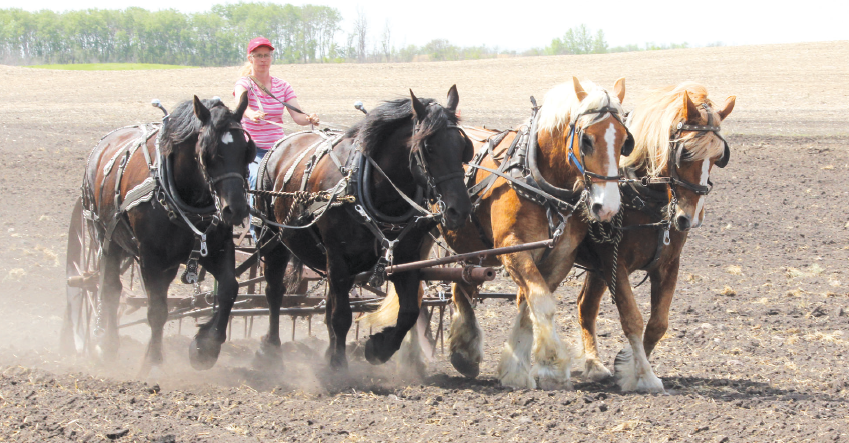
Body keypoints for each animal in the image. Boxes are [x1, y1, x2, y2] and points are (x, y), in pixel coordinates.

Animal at [78, 95, 253, 372]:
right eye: (207, 153)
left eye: (246, 151)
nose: (235, 209)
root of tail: (103, 145)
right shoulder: (150, 258)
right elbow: (157, 309)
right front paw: (153, 361)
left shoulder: (218, 248)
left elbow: (228, 289)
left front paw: (205, 347)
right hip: (108, 239)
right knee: (110, 288)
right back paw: (107, 345)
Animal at [203, 86, 474, 372]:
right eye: (429, 147)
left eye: (463, 147)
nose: (460, 209)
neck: (374, 191)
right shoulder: (338, 256)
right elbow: (342, 316)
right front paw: (337, 366)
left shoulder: (405, 258)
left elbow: (409, 311)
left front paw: (377, 347)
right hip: (275, 239)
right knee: (274, 293)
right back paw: (271, 350)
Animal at [440, 78, 632, 390]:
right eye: (586, 140)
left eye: (625, 141)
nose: (608, 207)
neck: (540, 182)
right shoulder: (512, 248)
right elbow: (542, 303)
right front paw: (553, 365)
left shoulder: (560, 256)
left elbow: (528, 306)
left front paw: (516, 369)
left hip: (474, 250)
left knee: (461, 286)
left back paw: (464, 352)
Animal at [576, 82, 736, 392]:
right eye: (685, 153)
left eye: (718, 157)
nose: (689, 219)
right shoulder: (614, 264)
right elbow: (632, 319)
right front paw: (644, 376)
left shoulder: (668, 265)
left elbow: (658, 324)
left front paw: (629, 367)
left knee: (585, 306)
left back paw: (593, 365)